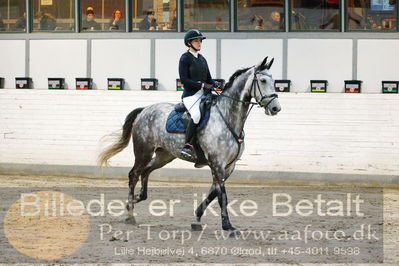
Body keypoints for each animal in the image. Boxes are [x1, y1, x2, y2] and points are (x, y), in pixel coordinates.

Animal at [99, 56, 282, 233]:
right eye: (263, 81)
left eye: (274, 81)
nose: (275, 108)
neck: (228, 118)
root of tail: (145, 110)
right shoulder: (217, 163)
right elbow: (222, 195)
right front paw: (228, 225)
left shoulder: (229, 166)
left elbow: (213, 193)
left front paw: (197, 218)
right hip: (143, 151)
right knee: (133, 174)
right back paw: (130, 214)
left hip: (164, 155)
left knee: (146, 172)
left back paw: (137, 199)